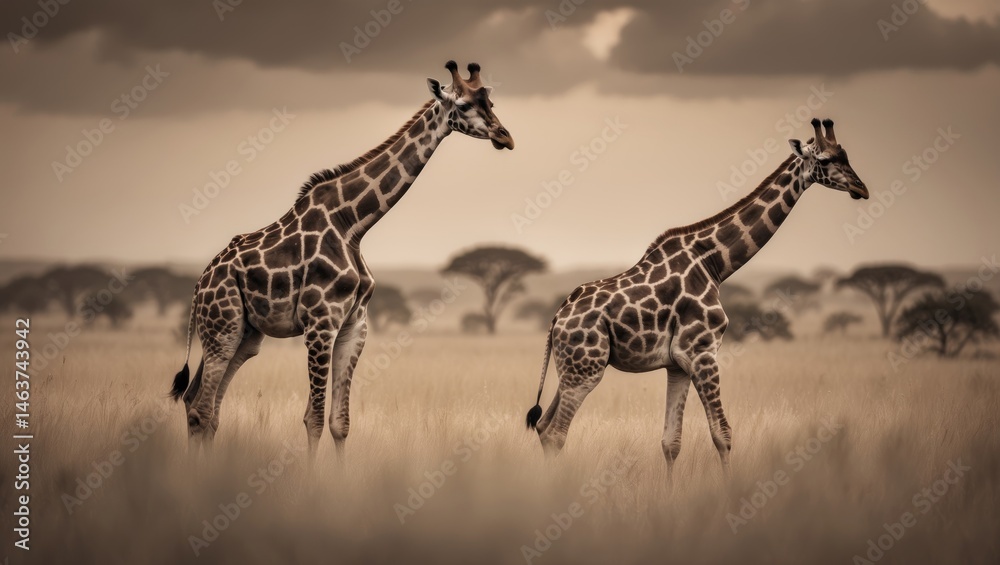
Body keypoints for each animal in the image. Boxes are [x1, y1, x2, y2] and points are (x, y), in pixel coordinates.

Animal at [170, 61, 514, 460]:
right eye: (462, 105)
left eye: (490, 101)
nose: (505, 137)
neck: (352, 225)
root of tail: (199, 285)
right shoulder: (321, 323)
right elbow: (314, 419)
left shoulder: (354, 325)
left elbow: (340, 422)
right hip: (221, 327)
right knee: (201, 408)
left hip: (244, 335)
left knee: (202, 405)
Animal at [525, 119, 868, 478]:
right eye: (826, 160)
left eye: (845, 155)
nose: (862, 189)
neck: (714, 263)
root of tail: (556, 320)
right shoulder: (702, 351)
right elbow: (722, 433)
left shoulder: (677, 363)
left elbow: (671, 442)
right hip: (586, 369)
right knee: (556, 432)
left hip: (571, 370)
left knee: (544, 427)